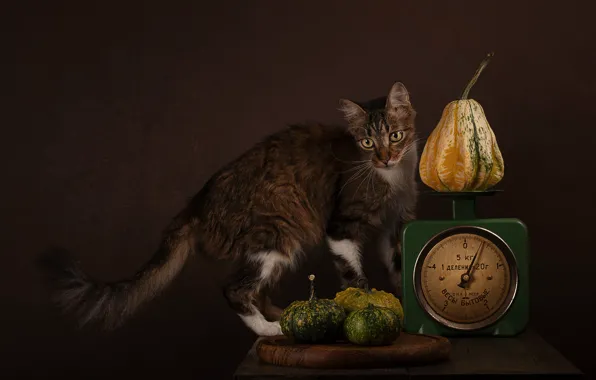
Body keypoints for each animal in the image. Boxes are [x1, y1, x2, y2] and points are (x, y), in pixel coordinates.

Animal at [38, 81, 420, 336]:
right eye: (367, 142)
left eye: (395, 136)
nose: (385, 157)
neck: (394, 177)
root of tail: (197, 200)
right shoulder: (341, 226)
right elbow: (355, 280)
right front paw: (370, 305)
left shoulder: (395, 224)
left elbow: (399, 265)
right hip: (276, 233)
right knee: (233, 289)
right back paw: (271, 330)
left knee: (254, 289)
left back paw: (280, 315)